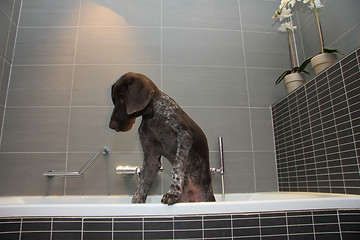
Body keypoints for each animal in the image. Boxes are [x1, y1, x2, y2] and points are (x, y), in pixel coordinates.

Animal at [108, 72, 215, 205]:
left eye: (122, 97)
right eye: (114, 99)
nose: (111, 125)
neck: (152, 114)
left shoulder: (184, 137)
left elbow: (177, 167)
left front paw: (173, 193)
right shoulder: (151, 156)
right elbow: (143, 181)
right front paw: (138, 200)